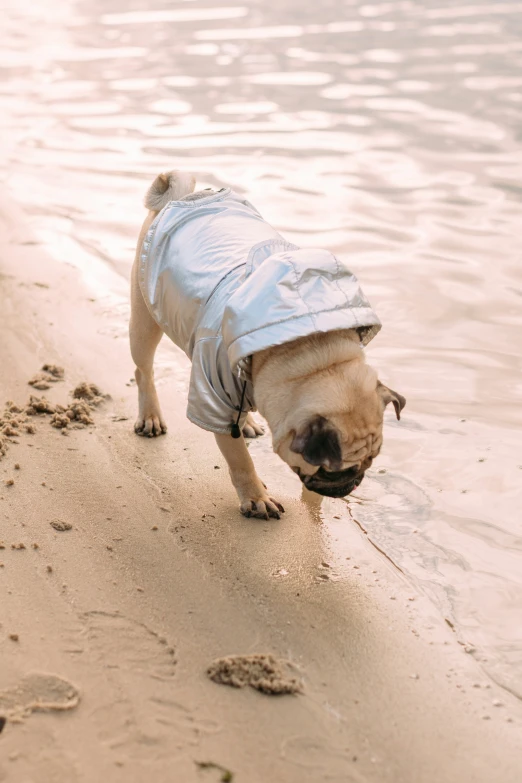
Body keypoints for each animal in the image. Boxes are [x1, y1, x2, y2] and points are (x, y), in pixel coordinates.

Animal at [129, 170, 402, 520]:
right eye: (334, 471)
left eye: (371, 460)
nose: (354, 483)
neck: (310, 355)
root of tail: (180, 197)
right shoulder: (214, 398)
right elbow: (240, 460)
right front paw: (256, 497)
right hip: (144, 322)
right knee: (143, 370)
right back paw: (150, 415)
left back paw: (247, 422)